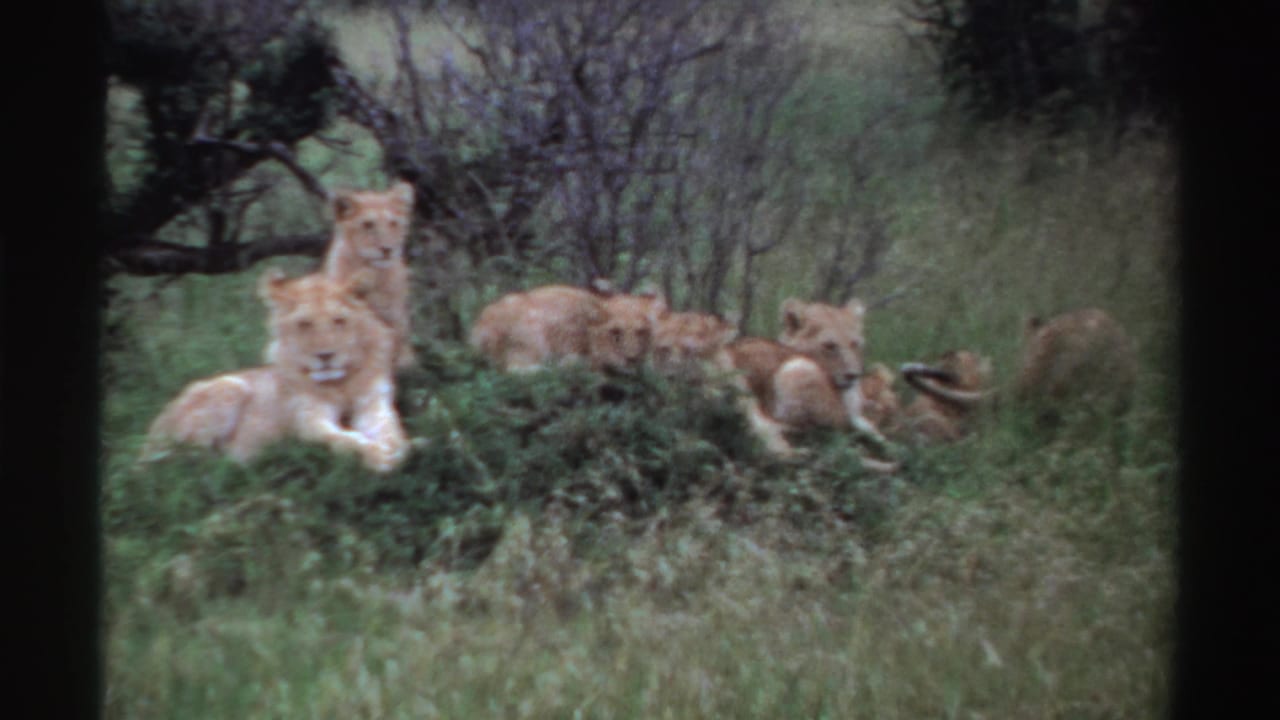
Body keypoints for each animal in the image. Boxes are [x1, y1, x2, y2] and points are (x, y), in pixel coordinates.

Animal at [141, 269, 410, 473]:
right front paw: (377, 456)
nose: (325, 356)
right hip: (230, 387)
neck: (340, 384)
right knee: (182, 463)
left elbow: (390, 430)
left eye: (339, 321)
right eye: (304, 324)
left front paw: (398, 449)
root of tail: (152, 431)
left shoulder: (375, 403)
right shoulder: (307, 420)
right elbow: (342, 440)